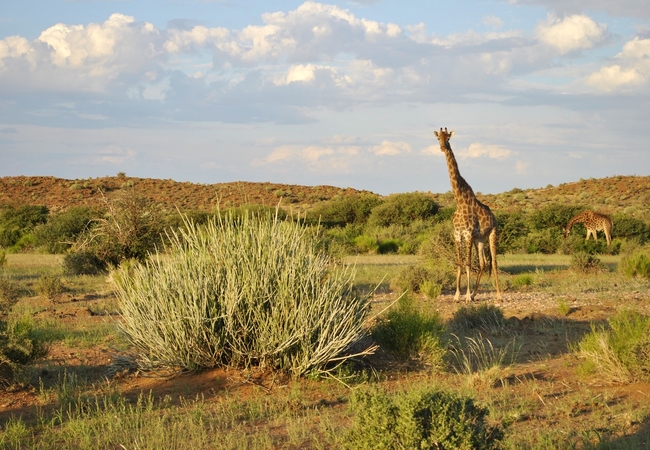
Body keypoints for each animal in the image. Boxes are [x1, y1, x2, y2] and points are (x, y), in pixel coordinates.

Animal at [432, 126, 498, 302]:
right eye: (438, 138)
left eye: (448, 138)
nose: (443, 147)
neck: (459, 200)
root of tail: (494, 217)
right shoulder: (457, 234)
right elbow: (460, 263)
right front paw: (457, 295)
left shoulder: (467, 233)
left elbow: (468, 263)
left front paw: (466, 296)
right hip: (479, 239)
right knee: (483, 262)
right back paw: (475, 294)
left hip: (492, 234)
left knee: (494, 262)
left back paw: (498, 295)